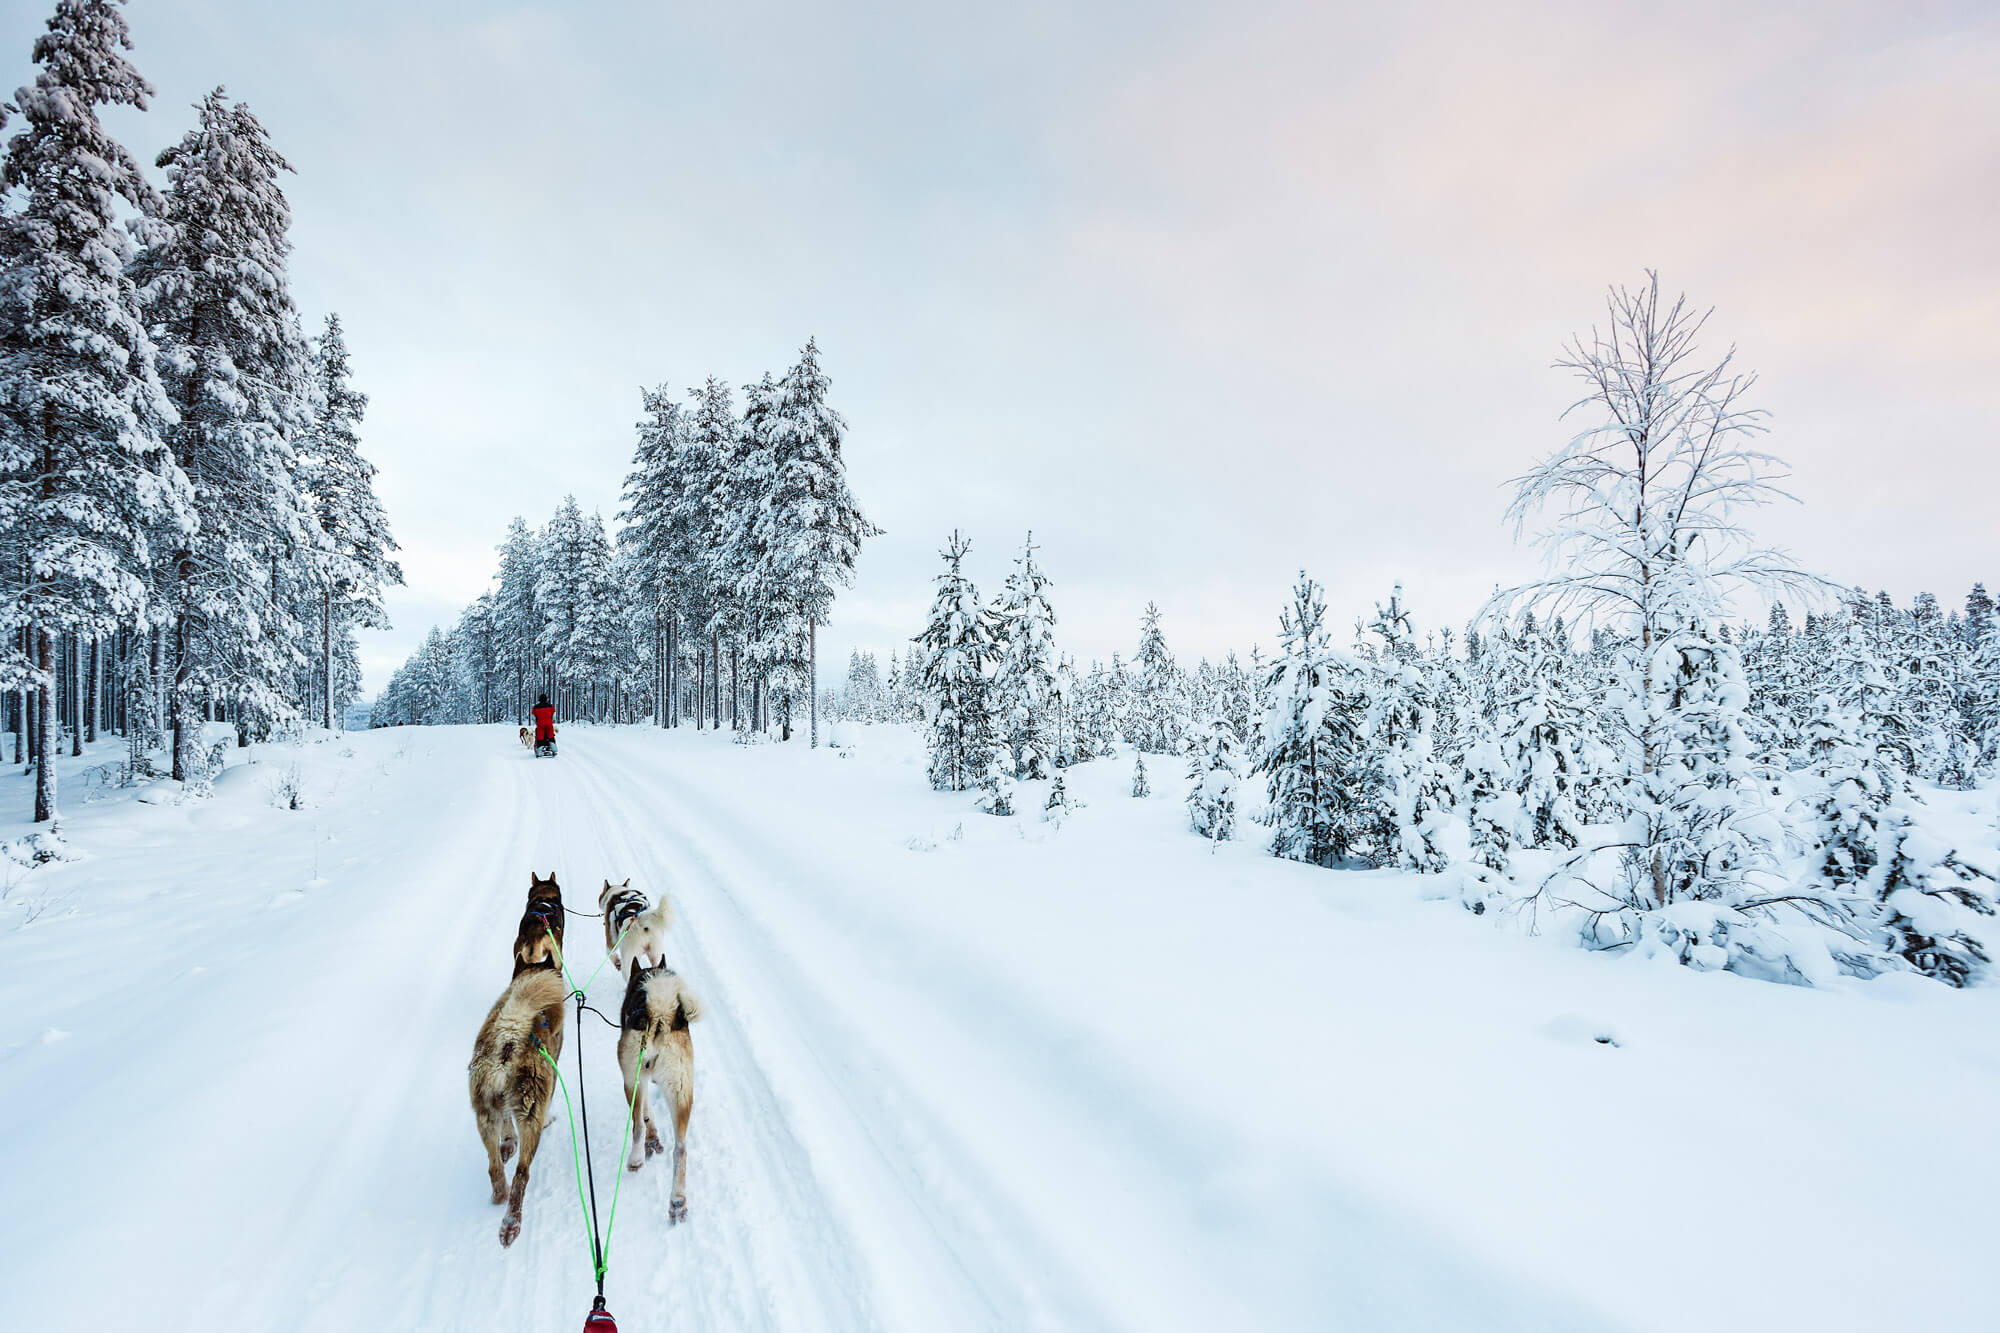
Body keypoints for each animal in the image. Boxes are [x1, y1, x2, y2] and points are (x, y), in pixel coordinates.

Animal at [620, 960, 708, 1216]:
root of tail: (660, 1016)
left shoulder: (638, 1079)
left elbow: (646, 1114)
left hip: (631, 1080)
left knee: (637, 1125)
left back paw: (635, 1159)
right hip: (680, 1094)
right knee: (680, 1148)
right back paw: (677, 1199)